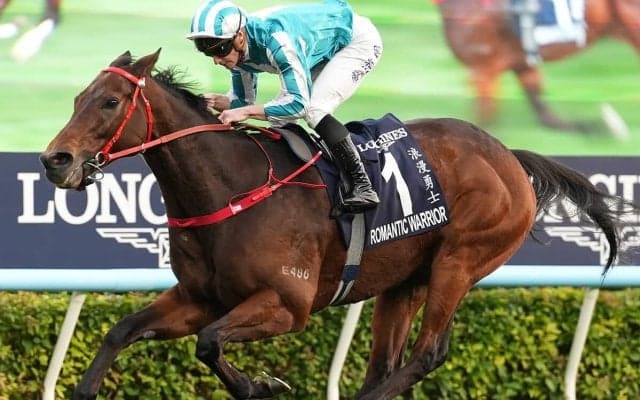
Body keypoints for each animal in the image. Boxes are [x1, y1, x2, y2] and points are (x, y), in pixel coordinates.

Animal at [40, 49, 628, 399]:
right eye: (76, 98)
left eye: (109, 101)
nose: (55, 161)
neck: (232, 188)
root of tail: (508, 156)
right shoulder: (199, 298)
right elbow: (121, 331)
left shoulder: (287, 305)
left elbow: (208, 344)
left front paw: (262, 385)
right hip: (404, 282)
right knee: (387, 362)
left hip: (460, 262)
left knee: (428, 353)